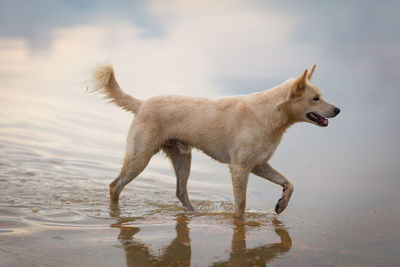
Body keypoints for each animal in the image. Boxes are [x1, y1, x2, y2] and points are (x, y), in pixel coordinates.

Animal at [91, 64, 340, 220]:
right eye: (315, 98)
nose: (338, 109)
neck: (272, 114)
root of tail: (142, 103)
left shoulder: (258, 165)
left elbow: (289, 183)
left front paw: (281, 204)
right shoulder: (240, 168)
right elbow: (241, 206)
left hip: (183, 158)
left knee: (181, 192)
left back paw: (194, 213)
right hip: (140, 156)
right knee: (115, 185)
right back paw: (115, 213)